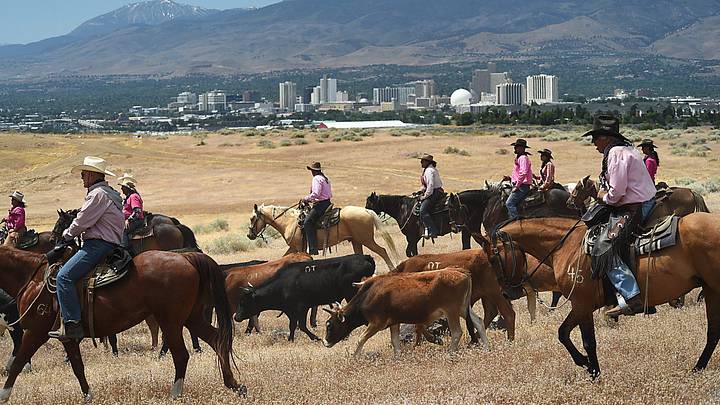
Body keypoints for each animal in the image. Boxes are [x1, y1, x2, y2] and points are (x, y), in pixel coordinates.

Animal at [233, 254, 376, 342]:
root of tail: (365, 257)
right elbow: (293, 325)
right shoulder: (290, 310)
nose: (236, 317)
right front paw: (290, 339)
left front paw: (316, 338)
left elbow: (301, 325)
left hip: (351, 294)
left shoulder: (302, 307)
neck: (283, 284)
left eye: (243, 302)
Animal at [322, 267, 489, 357]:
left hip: (452, 311)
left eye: (329, 325)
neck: (368, 294)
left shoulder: (376, 323)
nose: (325, 342)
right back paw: (487, 347)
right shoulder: (393, 323)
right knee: (478, 322)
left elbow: (361, 339)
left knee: (456, 332)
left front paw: (355, 357)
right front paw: (397, 357)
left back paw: (451, 352)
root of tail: (461, 271)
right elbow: (395, 341)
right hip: (463, 309)